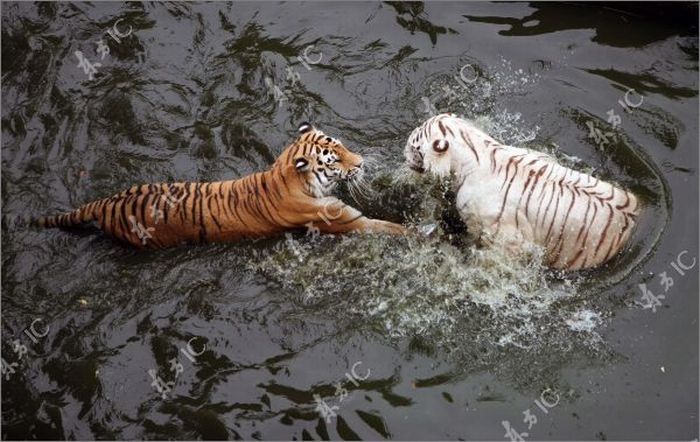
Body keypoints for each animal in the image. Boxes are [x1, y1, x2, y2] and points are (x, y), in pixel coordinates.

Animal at [35, 123, 408, 249]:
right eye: (333, 160)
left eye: (342, 146)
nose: (360, 162)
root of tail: (107, 202)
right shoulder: (347, 220)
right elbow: (388, 228)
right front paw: (419, 234)